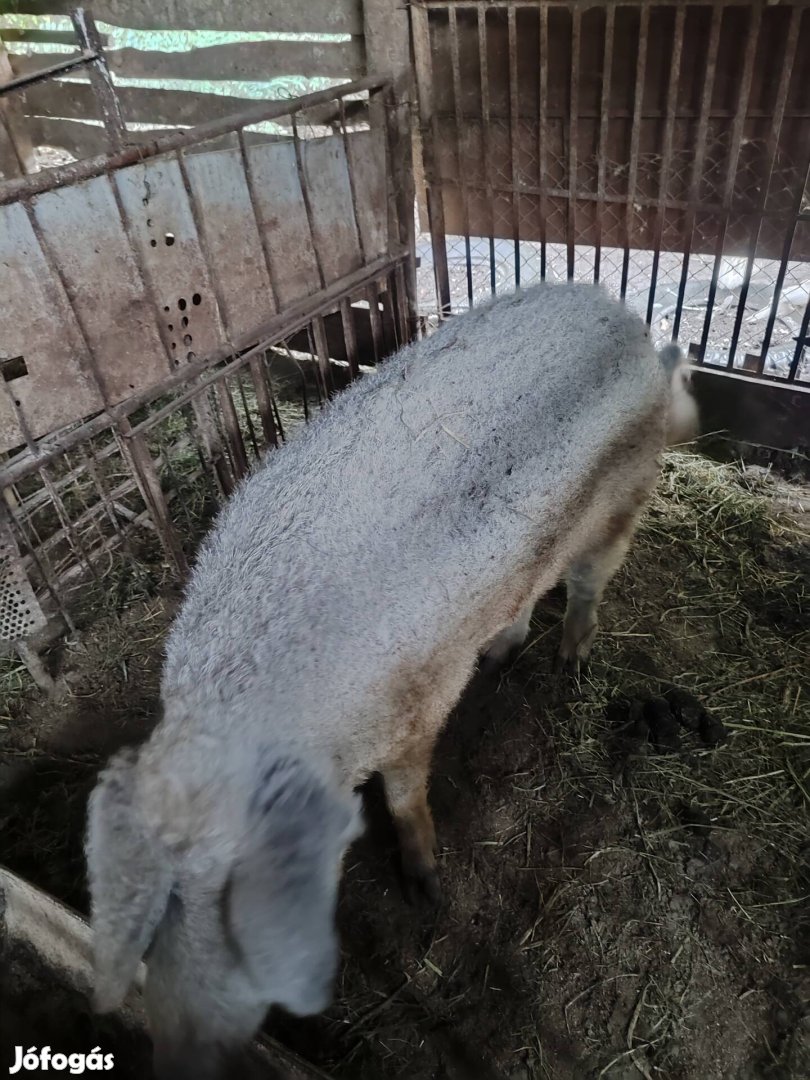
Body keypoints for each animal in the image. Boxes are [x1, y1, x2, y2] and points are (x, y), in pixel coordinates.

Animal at [87, 282, 699, 1075]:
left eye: (241, 912)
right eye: (156, 919)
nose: (179, 1055)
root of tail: (625, 319)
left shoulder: (413, 712)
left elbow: (407, 799)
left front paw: (426, 890)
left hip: (623, 497)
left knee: (589, 584)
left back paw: (571, 665)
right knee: (528, 592)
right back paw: (503, 654)